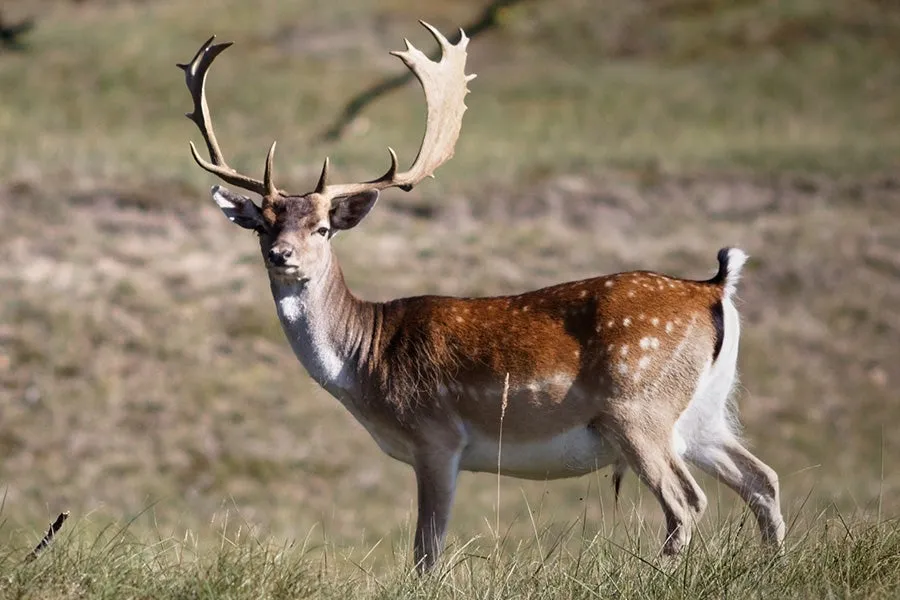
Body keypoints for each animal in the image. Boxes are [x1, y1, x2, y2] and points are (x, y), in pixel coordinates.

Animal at [177, 23, 785, 572]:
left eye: (324, 227)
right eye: (264, 225)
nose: (281, 255)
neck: (366, 361)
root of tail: (715, 286)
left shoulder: (436, 436)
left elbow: (426, 551)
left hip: (639, 407)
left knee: (688, 500)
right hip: (705, 414)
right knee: (764, 478)